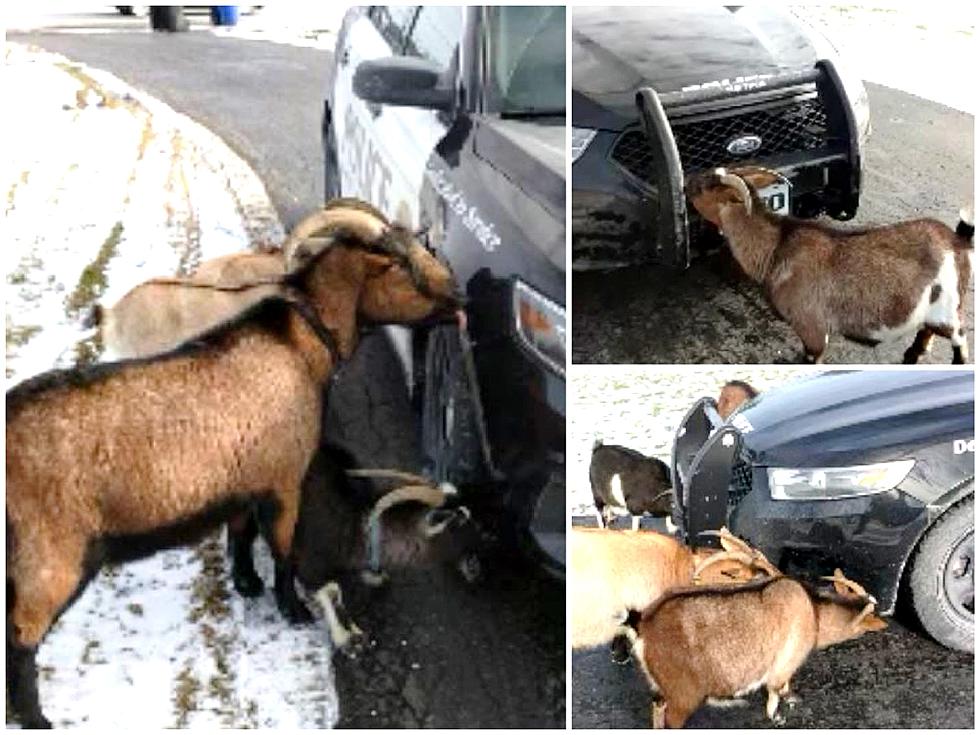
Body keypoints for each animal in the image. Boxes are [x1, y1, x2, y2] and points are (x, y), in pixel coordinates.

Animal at [620, 568, 888, 728]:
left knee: (657, 707)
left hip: (661, 687)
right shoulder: (784, 662)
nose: (882, 625)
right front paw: (777, 716)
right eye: (867, 620)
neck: (815, 612)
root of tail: (643, 622)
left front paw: (791, 698)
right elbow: (775, 690)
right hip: (684, 695)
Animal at [684, 165, 976, 364]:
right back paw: (912, 355)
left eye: (706, 187)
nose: (686, 182)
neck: (777, 247)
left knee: (959, 336)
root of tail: (957, 241)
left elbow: (811, 357)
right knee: (927, 331)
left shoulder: (812, 327)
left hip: (948, 308)